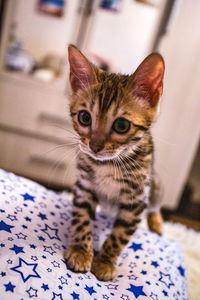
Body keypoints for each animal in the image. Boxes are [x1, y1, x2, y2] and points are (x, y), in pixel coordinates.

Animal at [63, 44, 164, 282]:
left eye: (121, 125)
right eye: (84, 117)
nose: (94, 146)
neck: (108, 165)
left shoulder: (136, 201)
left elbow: (120, 234)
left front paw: (105, 261)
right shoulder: (84, 186)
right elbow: (81, 218)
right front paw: (81, 251)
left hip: (155, 185)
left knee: (157, 205)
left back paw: (156, 223)